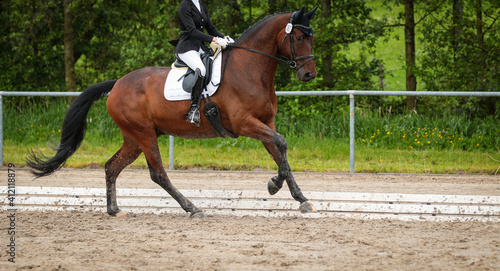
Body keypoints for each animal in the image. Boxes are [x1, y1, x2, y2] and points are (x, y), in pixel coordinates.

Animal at [26, 6, 316, 219]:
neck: (251, 69)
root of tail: (117, 83)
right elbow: (282, 145)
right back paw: (192, 208)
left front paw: (301, 199)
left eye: (311, 38)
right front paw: (274, 185)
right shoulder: (245, 123)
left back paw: (114, 209)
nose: (309, 75)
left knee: (112, 166)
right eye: (298, 38)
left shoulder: (266, 122)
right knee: (158, 174)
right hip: (143, 134)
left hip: (134, 138)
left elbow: (280, 152)